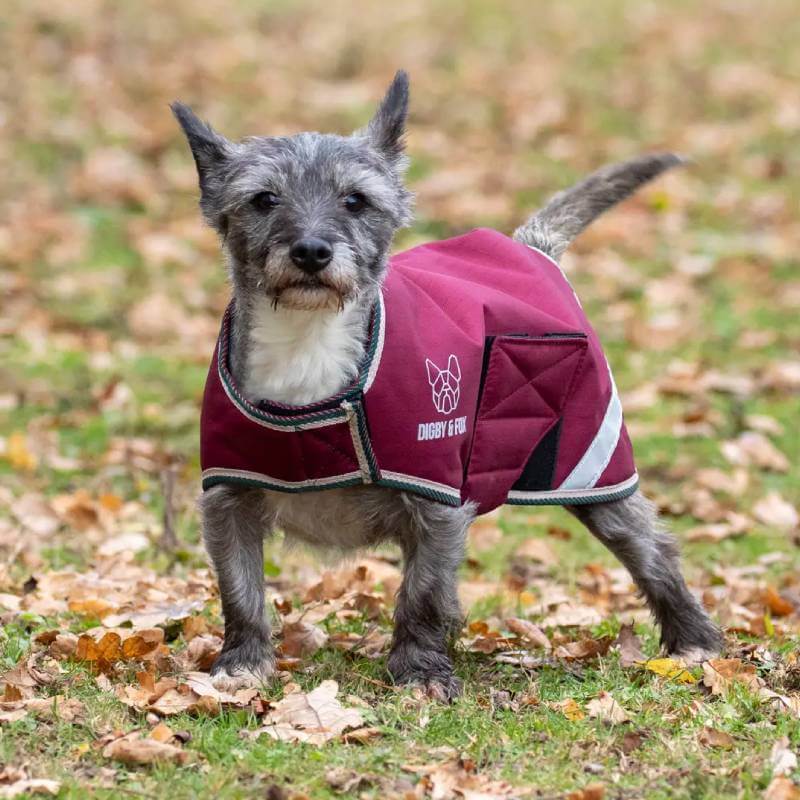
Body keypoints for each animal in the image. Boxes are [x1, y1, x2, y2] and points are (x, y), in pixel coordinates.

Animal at [175, 70, 724, 700]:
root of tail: (531, 249)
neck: (308, 348)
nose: (312, 251)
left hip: (592, 469)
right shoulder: (229, 502)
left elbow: (422, 593)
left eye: (355, 200)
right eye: (264, 199)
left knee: (653, 550)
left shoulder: (435, 504)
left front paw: (419, 670)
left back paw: (694, 641)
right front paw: (242, 664)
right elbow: (241, 591)